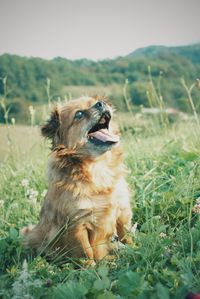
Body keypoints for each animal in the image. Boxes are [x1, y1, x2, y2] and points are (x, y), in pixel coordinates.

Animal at [21, 97, 133, 264]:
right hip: (34, 236)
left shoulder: (122, 211)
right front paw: (91, 267)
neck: (97, 167)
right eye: (79, 114)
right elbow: (85, 252)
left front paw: (136, 249)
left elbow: (127, 236)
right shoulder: (76, 224)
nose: (101, 103)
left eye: (96, 101)